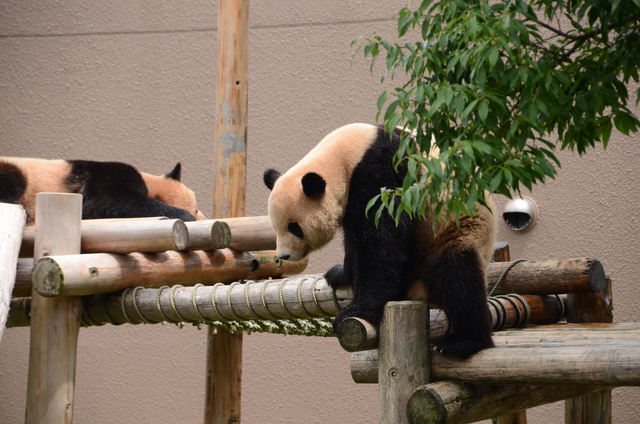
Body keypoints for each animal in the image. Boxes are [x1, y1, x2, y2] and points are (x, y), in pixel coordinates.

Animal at [0, 157, 205, 225]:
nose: (203, 217)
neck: (149, 182)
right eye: (196, 209)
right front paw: (184, 215)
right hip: (21, 171)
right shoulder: (109, 176)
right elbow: (105, 203)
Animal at [262, 122, 498, 358]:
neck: (343, 158)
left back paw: (464, 342)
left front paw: (356, 310)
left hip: (456, 231)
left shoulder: (382, 175)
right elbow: (355, 242)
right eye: (275, 227)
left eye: (294, 228)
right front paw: (340, 274)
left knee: (458, 276)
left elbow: (381, 243)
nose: (284, 255)